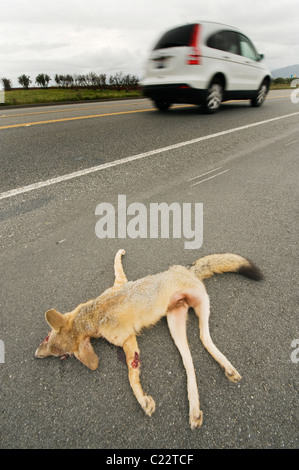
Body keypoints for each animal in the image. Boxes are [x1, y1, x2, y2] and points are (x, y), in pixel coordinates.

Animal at [35, 250, 262, 430]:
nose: (37, 354)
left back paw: (226, 369)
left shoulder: (126, 338)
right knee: (190, 363)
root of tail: (186, 268)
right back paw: (195, 409)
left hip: (202, 305)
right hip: (175, 326)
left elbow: (131, 376)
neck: (91, 316)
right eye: (47, 341)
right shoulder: (128, 337)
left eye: (61, 356)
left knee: (204, 338)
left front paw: (142, 400)